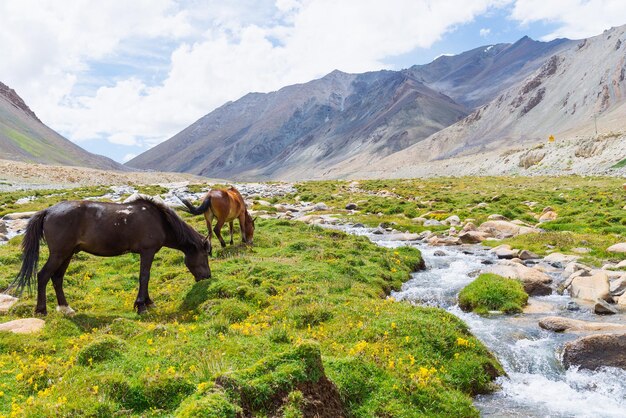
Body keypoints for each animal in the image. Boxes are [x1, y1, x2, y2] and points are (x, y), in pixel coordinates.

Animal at [6, 198, 210, 316]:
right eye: (205, 254)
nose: (207, 277)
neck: (159, 220)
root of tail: (48, 211)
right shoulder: (148, 251)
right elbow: (144, 277)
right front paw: (141, 306)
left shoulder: (147, 253)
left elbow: (145, 277)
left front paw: (148, 302)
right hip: (59, 253)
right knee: (43, 276)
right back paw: (41, 310)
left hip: (67, 254)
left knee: (57, 278)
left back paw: (66, 308)